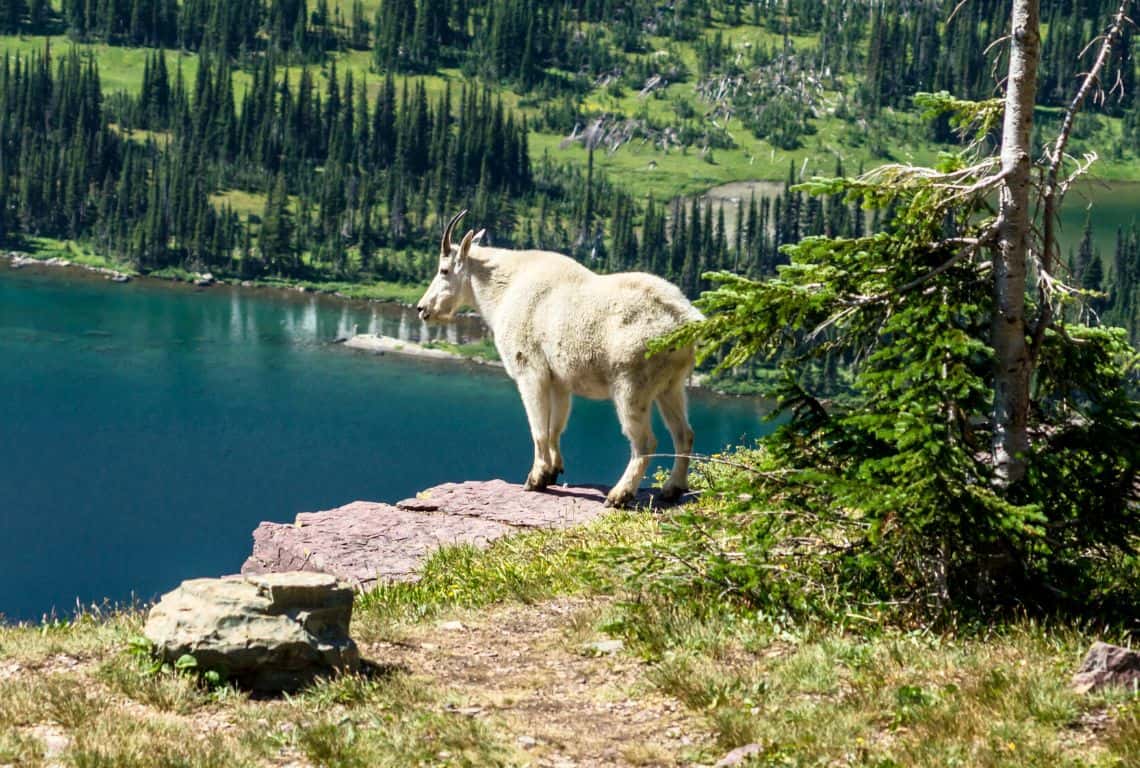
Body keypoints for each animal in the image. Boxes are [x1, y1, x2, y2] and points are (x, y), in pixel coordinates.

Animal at [419, 211, 702, 505]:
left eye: (444, 270)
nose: (422, 309)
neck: (504, 289)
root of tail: (686, 319)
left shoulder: (530, 371)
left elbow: (539, 429)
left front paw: (535, 479)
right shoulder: (560, 381)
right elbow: (556, 426)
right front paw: (554, 471)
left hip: (631, 384)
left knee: (645, 441)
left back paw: (619, 495)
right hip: (672, 385)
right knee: (684, 433)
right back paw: (673, 488)